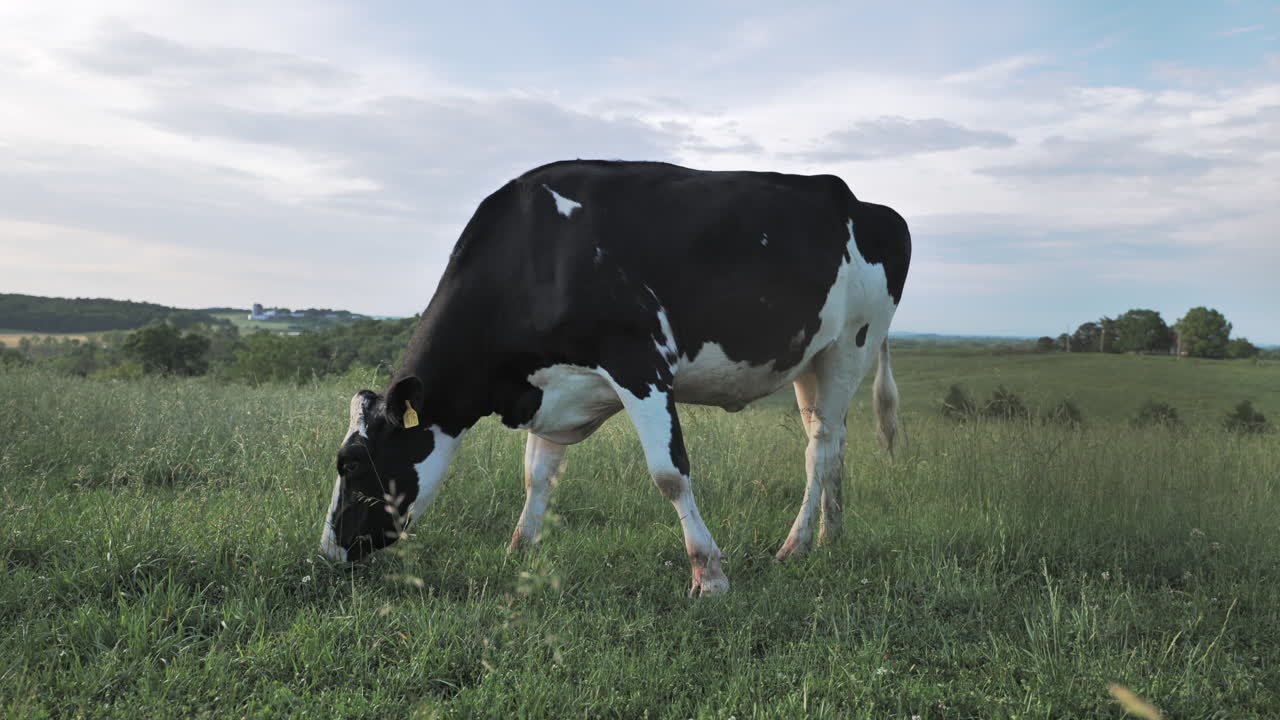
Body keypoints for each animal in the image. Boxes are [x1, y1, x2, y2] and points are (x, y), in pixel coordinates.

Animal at [320, 160, 911, 597]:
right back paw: (831, 536)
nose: (328, 552)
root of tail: (862, 202)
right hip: (810, 360)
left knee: (821, 448)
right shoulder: (551, 388)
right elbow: (537, 475)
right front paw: (520, 549)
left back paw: (798, 545)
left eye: (351, 463)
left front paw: (709, 574)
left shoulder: (640, 364)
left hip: (850, 344)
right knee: (832, 443)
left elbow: (670, 474)